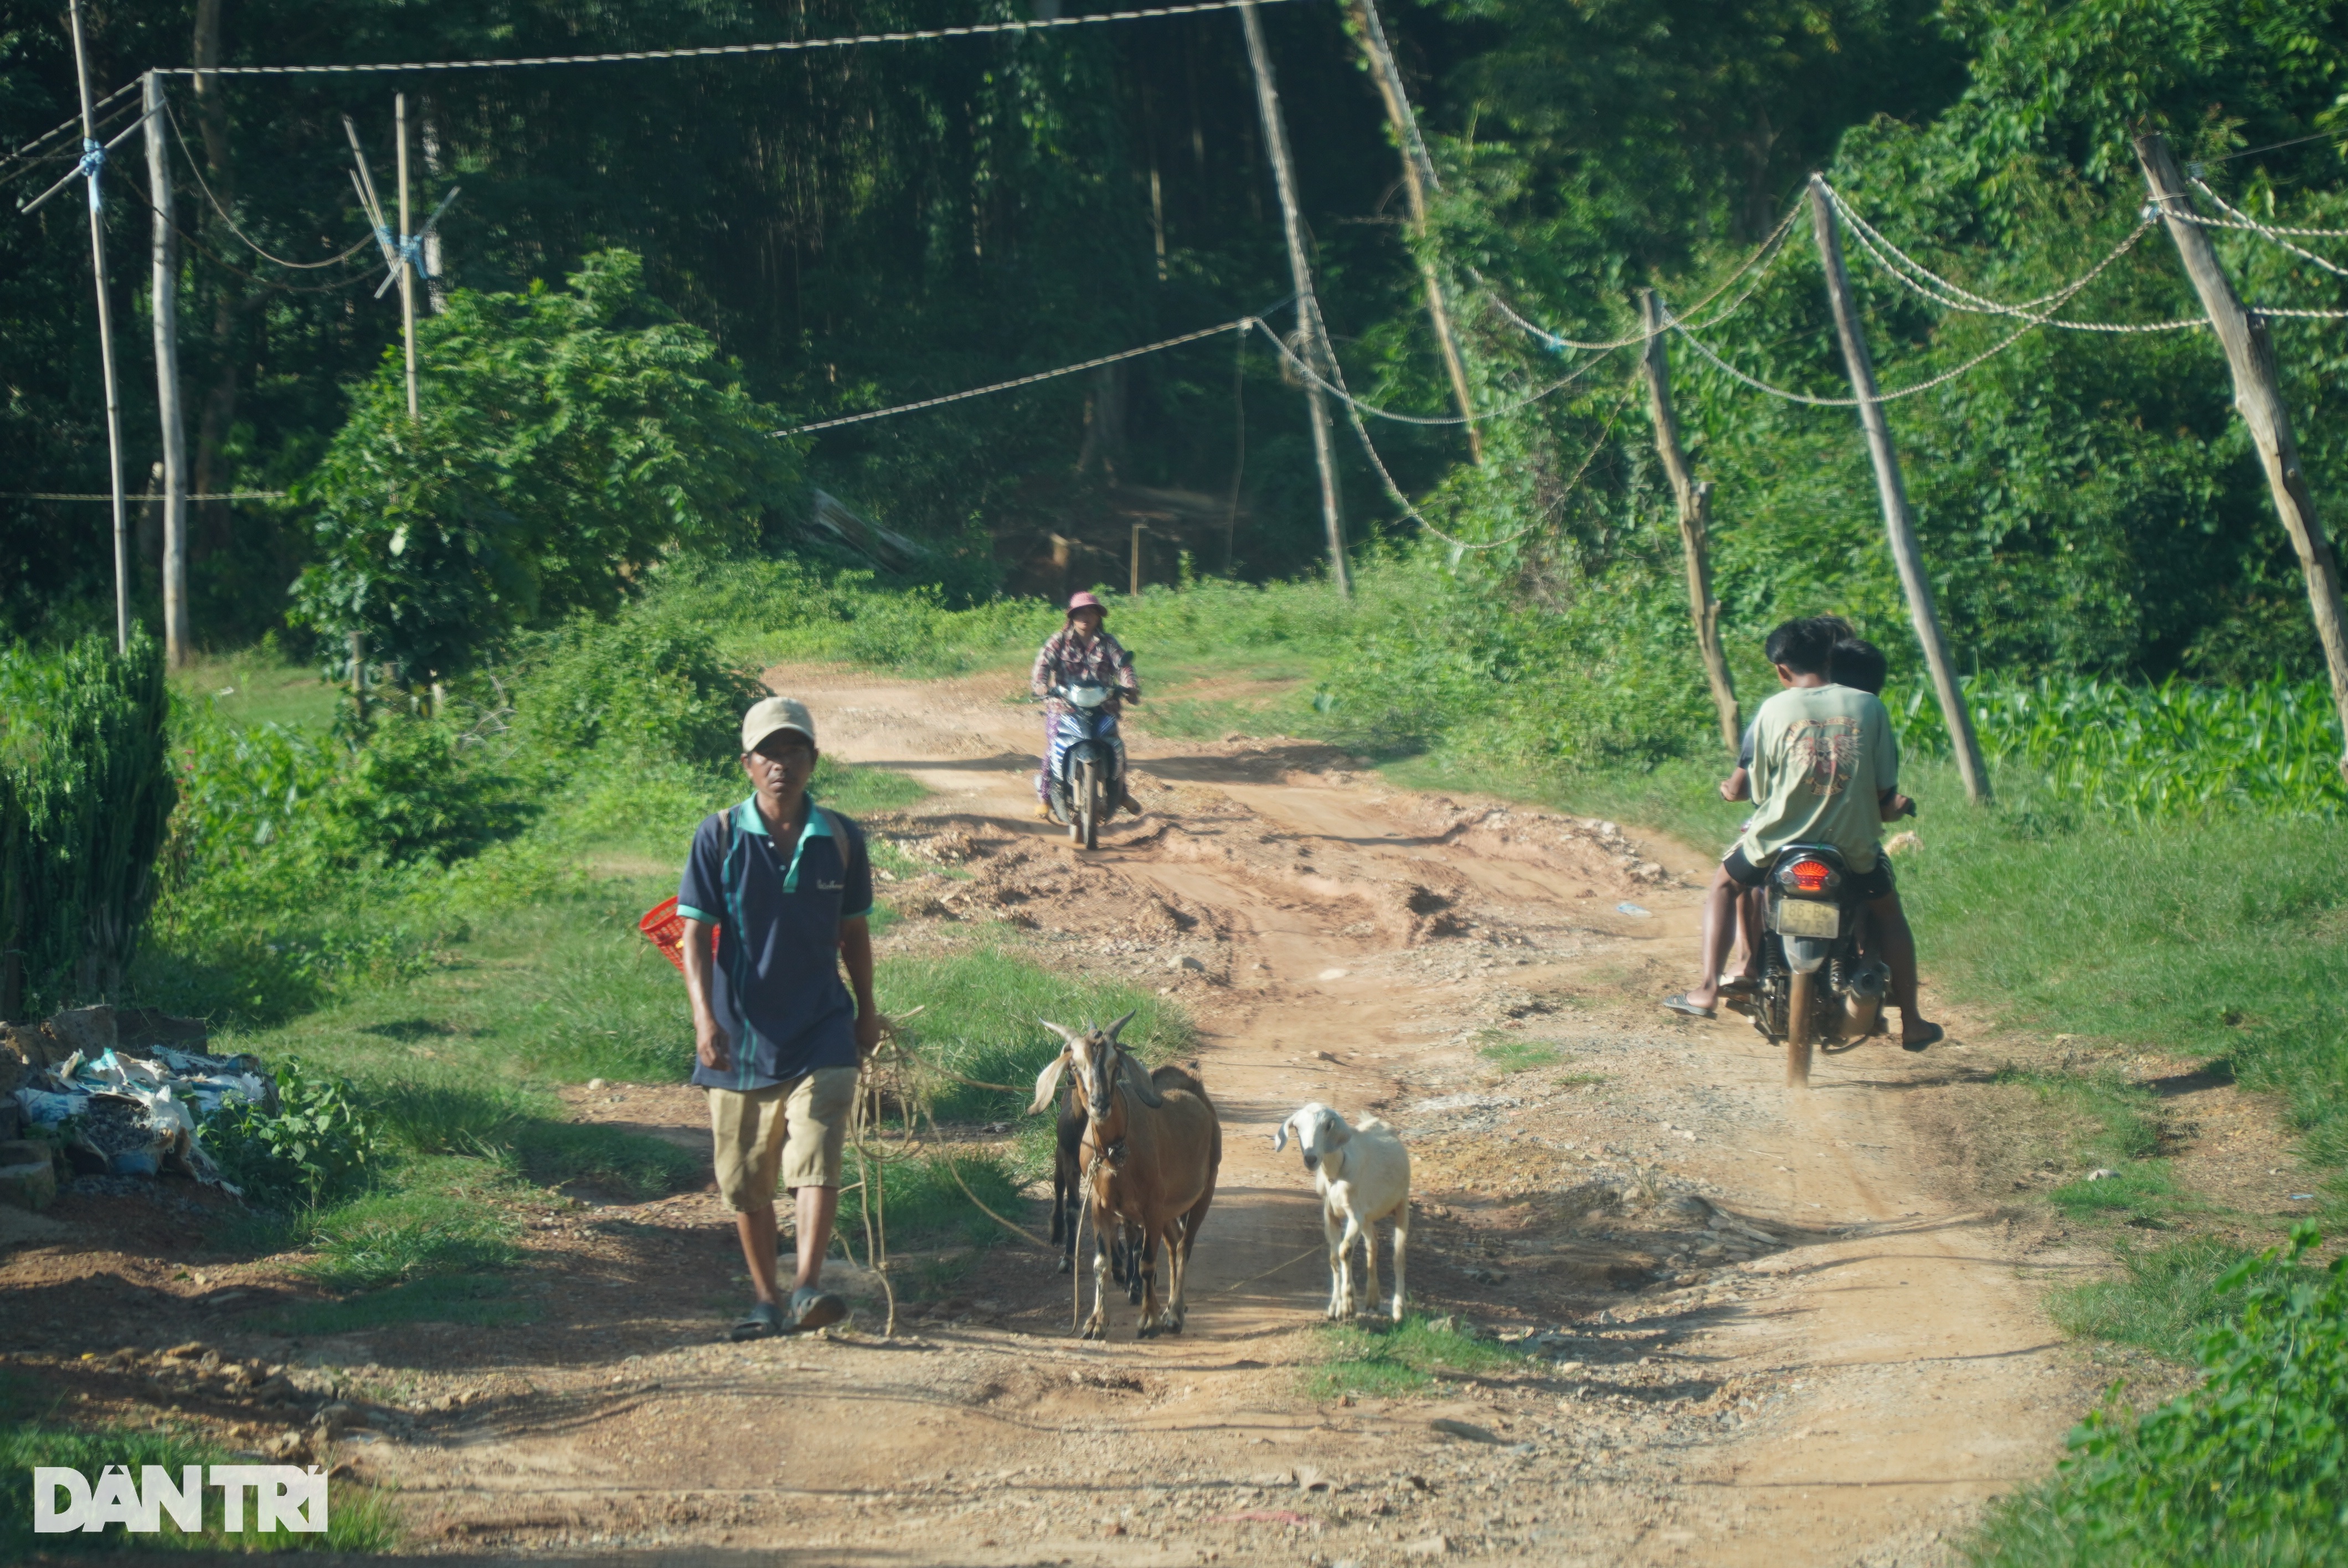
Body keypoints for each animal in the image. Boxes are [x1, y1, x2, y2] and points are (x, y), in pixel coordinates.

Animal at [1028, 1018, 1221, 1333]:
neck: (1116, 1152)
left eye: (1115, 1064)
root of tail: (1195, 1089)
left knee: (1183, 1246)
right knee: (1173, 1244)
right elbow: (1101, 1261)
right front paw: (1096, 1321)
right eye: (1074, 1066)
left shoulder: (1152, 1207)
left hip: (1206, 1189)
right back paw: (1170, 1308)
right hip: (1168, 1209)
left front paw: (1148, 1319)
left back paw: (1174, 1315)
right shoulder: (1100, 1204)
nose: (1100, 1104)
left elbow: (1147, 1262)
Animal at [1277, 1103, 1399, 1324]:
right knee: (1373, 1243)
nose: (1311, 1158)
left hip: (1400, 1203)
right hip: (1368, 1216)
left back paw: (1397, 1310)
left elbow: (1345, 1251)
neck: (1337, 1172)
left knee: (1398, 1255)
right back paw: (1372, 1300)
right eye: (1297, 1128)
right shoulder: (1331, 1214)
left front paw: (1348, 1306)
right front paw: (1335, 1307)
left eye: (1328, 1126)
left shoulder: (1355, 1216)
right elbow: (1334, 1258)